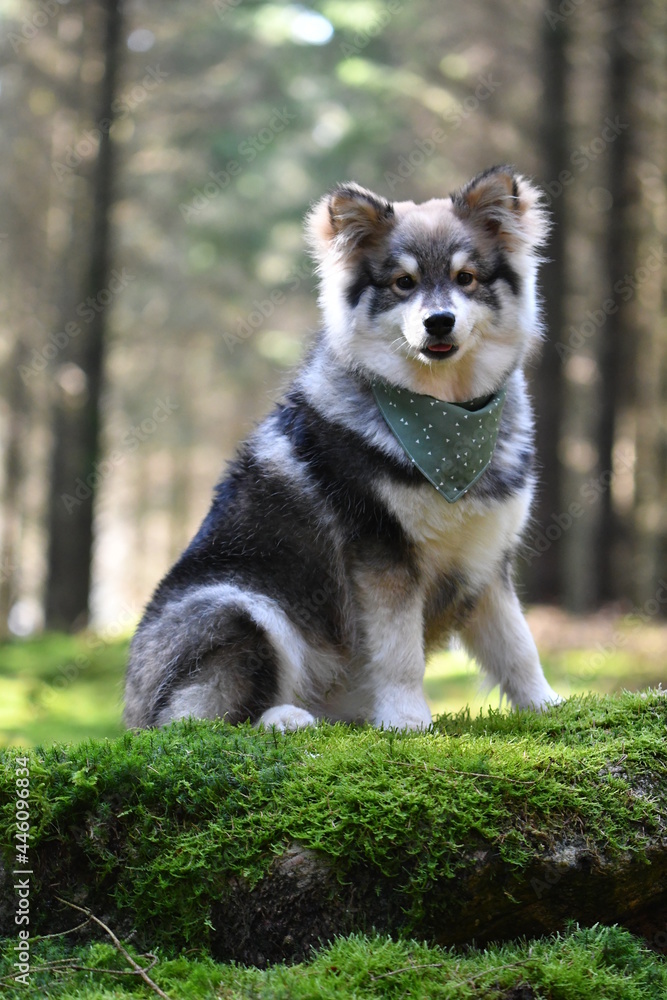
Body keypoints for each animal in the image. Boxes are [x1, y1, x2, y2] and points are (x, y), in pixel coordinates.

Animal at [125, 160, 564, 732]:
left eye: (465, 278)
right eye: (403, 283)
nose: (438, 321)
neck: (446, 419)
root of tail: (131, 707)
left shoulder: (487, 560)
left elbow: (518, 645)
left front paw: (545, 703)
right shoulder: (382, 555)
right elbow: (399, 652)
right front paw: (407, 718)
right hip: (240, 607)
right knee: (192, 720)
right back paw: (284, 719)